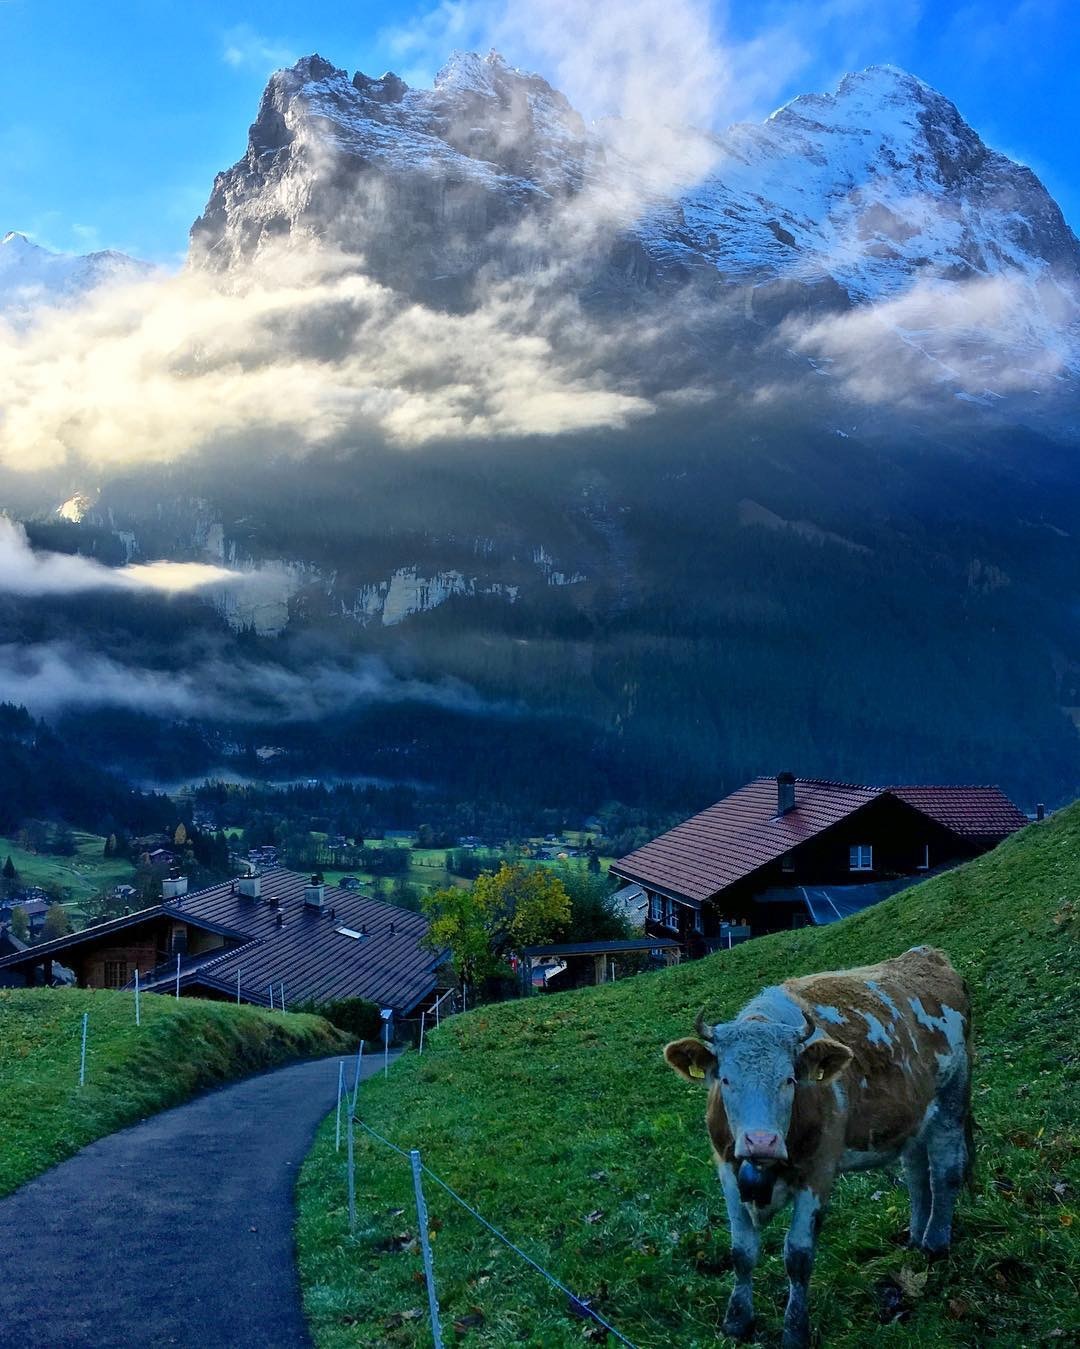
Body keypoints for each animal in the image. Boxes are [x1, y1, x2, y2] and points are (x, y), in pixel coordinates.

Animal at [660, 949, 970, 1349]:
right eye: (726, 1080)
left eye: (789, 1079)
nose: (761, 1141)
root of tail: (927, 955)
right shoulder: (727, 1170)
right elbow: (742, 1252)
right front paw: (737, 1321)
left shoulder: (818, 1173)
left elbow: (798, 1257)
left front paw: (795, 1330)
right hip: (912, 1123)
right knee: (918, 1176)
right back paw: (916, 1238)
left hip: (952, 1102)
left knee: (946, 1172)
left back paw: (934, 1244)